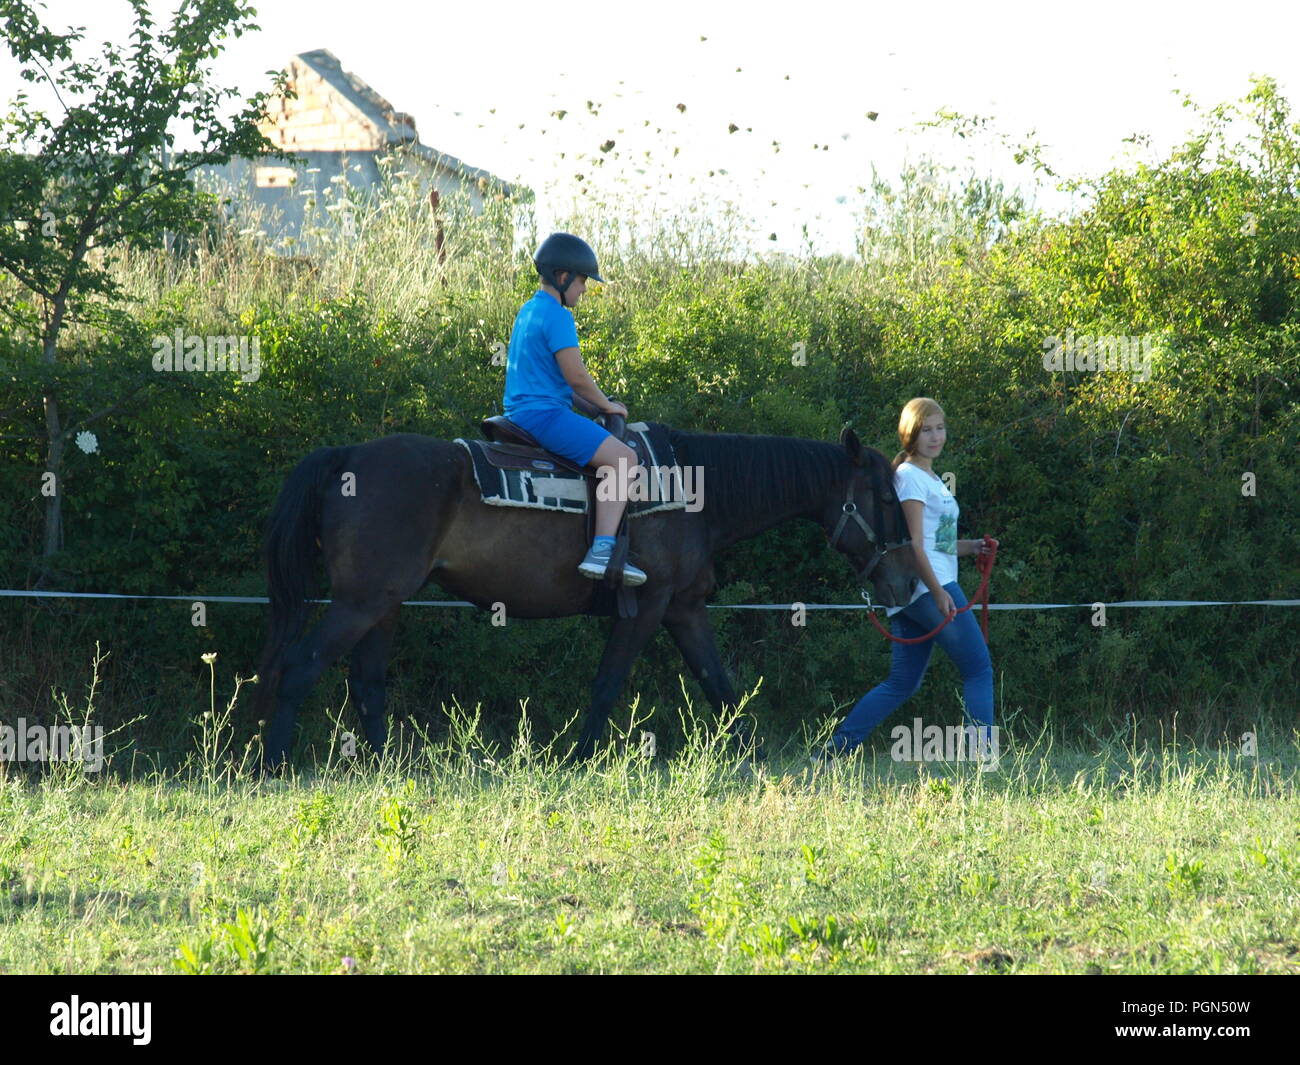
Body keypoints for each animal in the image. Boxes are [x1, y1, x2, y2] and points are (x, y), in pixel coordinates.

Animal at [253, 423, 920, 764]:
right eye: (889, 500)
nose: (907, 583)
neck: (692, 492)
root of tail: (346, 455)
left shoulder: (684, 609)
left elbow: (720, 685)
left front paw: (753, 756)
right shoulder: (648, 606)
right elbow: (608, 683)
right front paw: (578, 759)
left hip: (384, 605)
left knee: (366, 685)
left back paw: (389, 767)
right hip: (360, 602)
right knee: (300, 665)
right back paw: (274, 763)